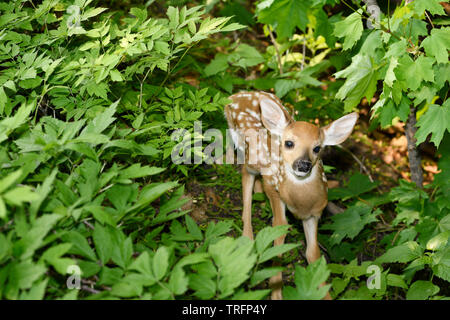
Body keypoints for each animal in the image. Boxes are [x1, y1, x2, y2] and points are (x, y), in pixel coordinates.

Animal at [225, 90, 358, 300]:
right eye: (289, 143)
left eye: (317, 148)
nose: (303, 165)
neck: (301, 203)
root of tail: (236, 96)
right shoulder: (277, 194)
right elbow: (279, 233)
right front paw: (275, 291)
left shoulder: (314, 215)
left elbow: (313, 254)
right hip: (251, 153)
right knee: (246, 174)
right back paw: (247, 236)